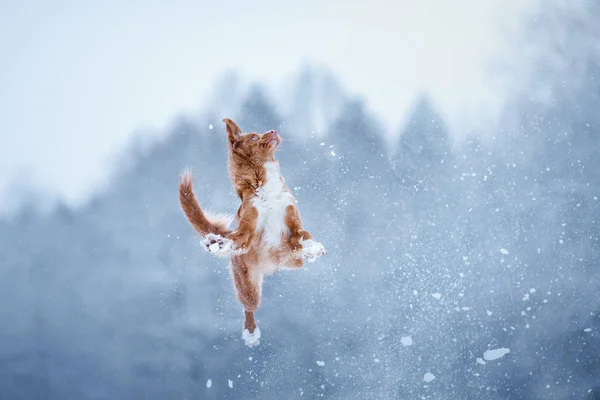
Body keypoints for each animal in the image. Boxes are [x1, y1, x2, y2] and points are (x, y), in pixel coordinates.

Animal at [180, 117, 326, 346]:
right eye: (254, 137)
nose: (273, 130)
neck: (265, 187)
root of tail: (271, 265)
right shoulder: (248, 229)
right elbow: (236, 237)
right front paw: (219, 243)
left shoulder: (292, 223)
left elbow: (304, 234)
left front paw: (312, 247)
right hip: (248, 287)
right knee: (249, 308)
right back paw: (250, 332)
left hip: (291, 260)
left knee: (298, 259)